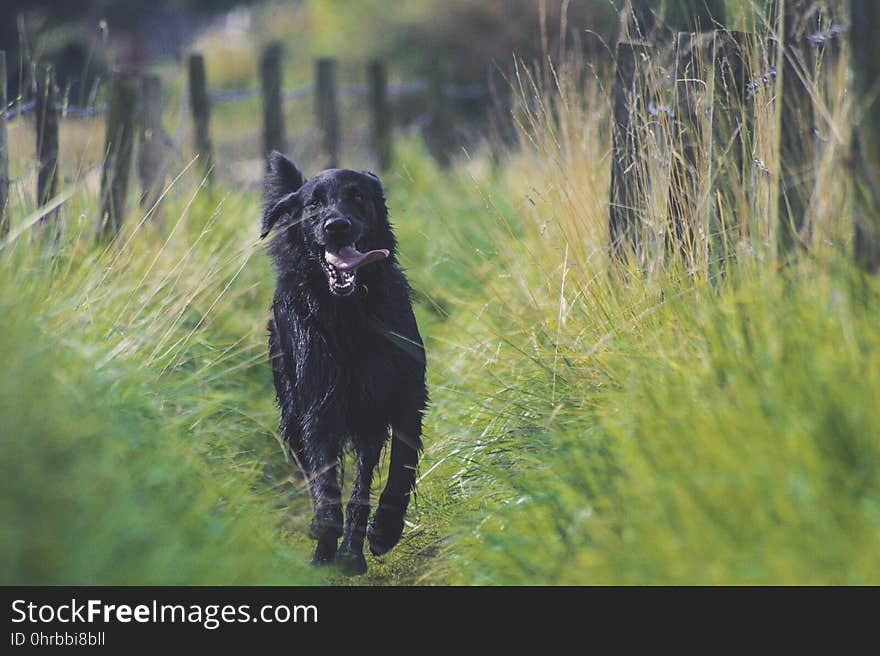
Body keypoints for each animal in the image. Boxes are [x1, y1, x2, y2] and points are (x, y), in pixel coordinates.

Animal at [262, 154, 426, 576]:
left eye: (357, 196)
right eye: (313, 204)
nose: (336, 226)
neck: (349, 312)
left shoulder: (404, 398)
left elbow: (398, 471)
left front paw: (384, 530)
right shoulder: (319, 405)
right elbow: (325, 481)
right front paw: (324, 530)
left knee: (363, 482)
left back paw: (353, 551)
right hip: (291, 413)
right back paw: (327, 552)